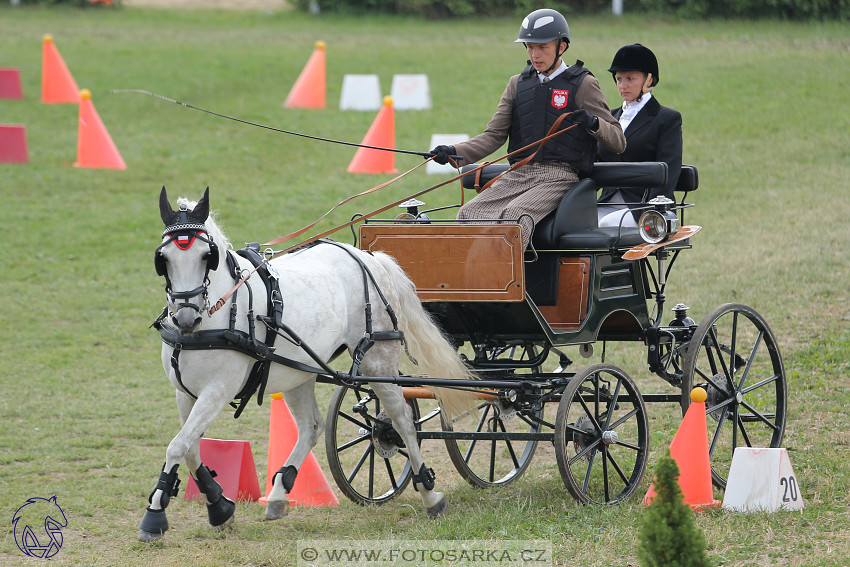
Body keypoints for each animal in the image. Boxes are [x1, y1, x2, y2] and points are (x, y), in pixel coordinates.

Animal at [136, 189, 474, 544]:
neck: (220, 313)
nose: (186, 317)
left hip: (378, 361)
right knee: (312, 426)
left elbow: (177, 446)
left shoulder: (217, 391)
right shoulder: (185, 392)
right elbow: (189, 448)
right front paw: (219, 506)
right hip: (299, 372)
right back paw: (279, 492)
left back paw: (430, 494)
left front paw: (154, 516)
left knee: (403, 422)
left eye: (206, 256)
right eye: (163, 258)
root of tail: (368, 257)